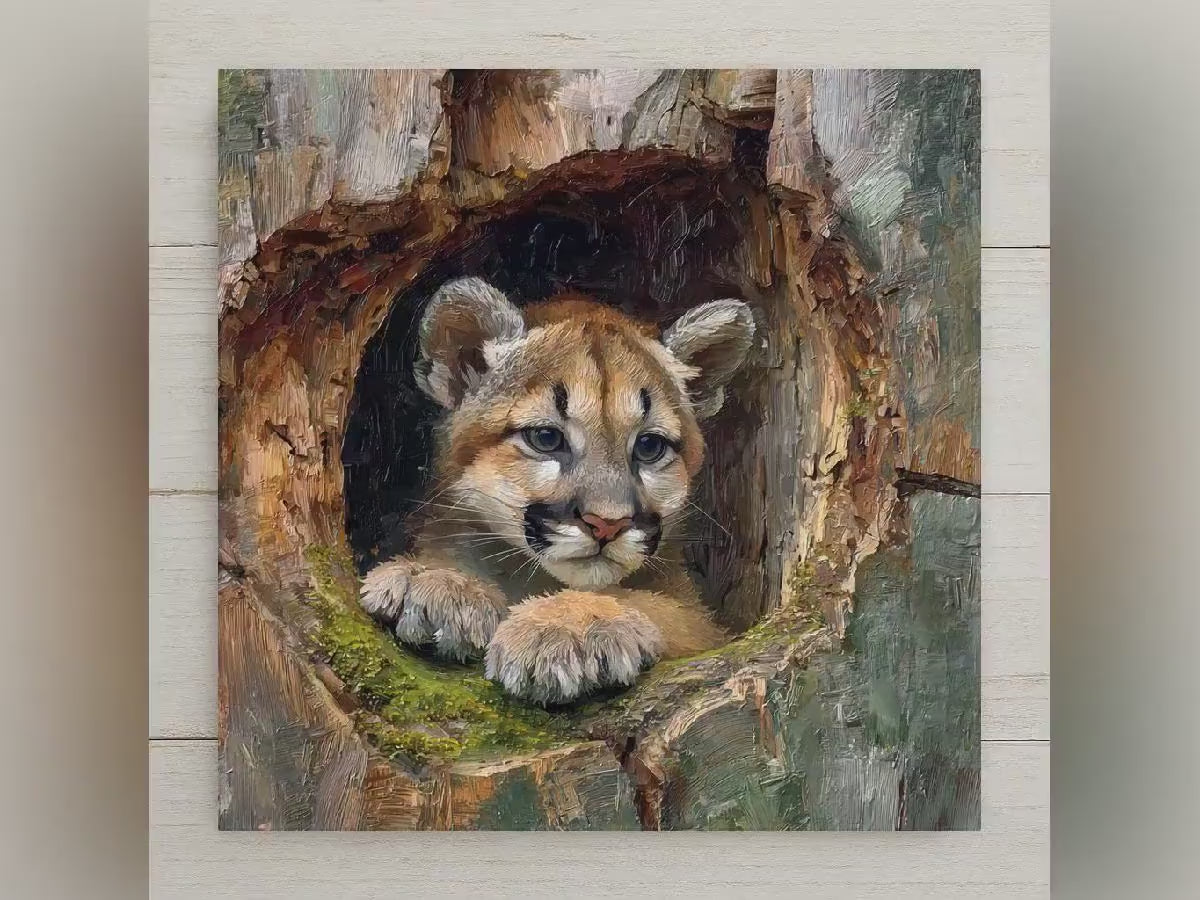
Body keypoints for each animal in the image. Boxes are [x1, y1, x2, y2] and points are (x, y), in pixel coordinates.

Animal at [359, 276, 756, 705]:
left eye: (650, 446)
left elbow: (658, 606)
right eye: (546, 438)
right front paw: (436, 581)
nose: (607, 524)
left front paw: (563, 627)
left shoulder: (707, 627)